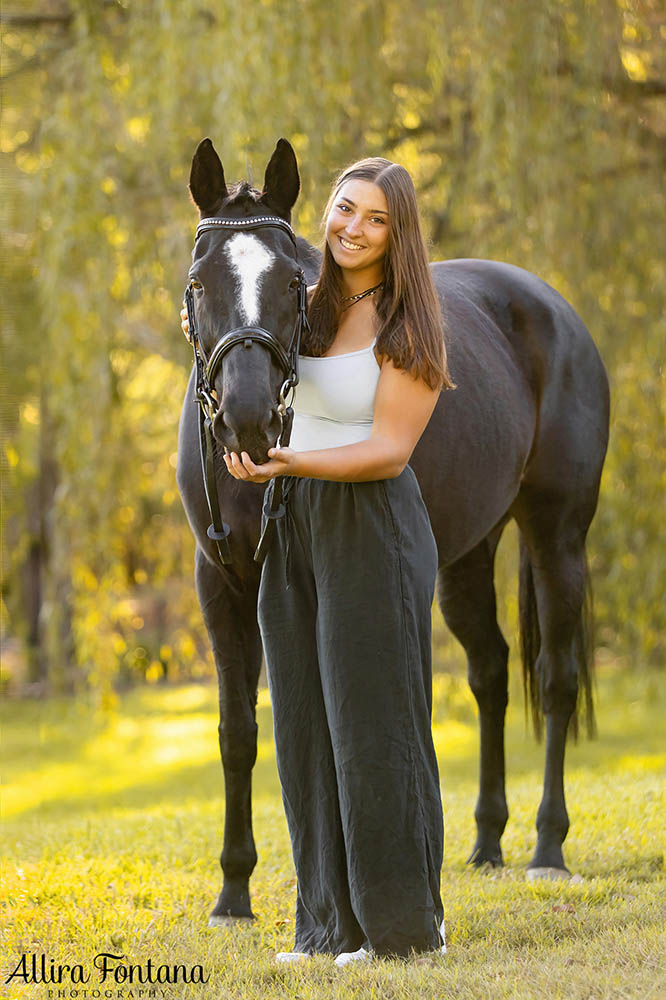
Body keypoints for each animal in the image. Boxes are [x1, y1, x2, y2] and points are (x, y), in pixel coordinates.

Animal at [175, 137, 608, 924]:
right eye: (199, 283)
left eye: (293, 282)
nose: (247, 419)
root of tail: (550, 305)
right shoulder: (218, 582)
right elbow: (238, 733)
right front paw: (233, 893)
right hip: (467, 558)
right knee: (492, 671)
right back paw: (487, 843)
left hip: (556, 536)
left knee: (556, 679)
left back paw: (546, 849)